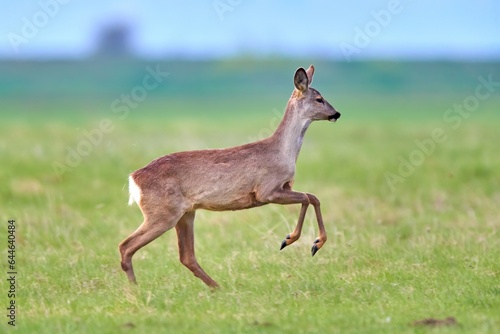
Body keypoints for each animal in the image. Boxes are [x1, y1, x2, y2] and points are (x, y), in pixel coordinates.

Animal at [119, 64, 342, 288]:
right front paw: (292, 240)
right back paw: (135, 289)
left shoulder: (284, 187)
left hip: (185, 214)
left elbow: (312, 197)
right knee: (126, 246)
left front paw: (312, 243)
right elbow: (307, 197)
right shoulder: (266, 190)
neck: (282, 151)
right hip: (162, 213)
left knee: (186, 256)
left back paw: (217, 287)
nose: (336, 113)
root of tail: (133, 178)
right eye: (319, 98)